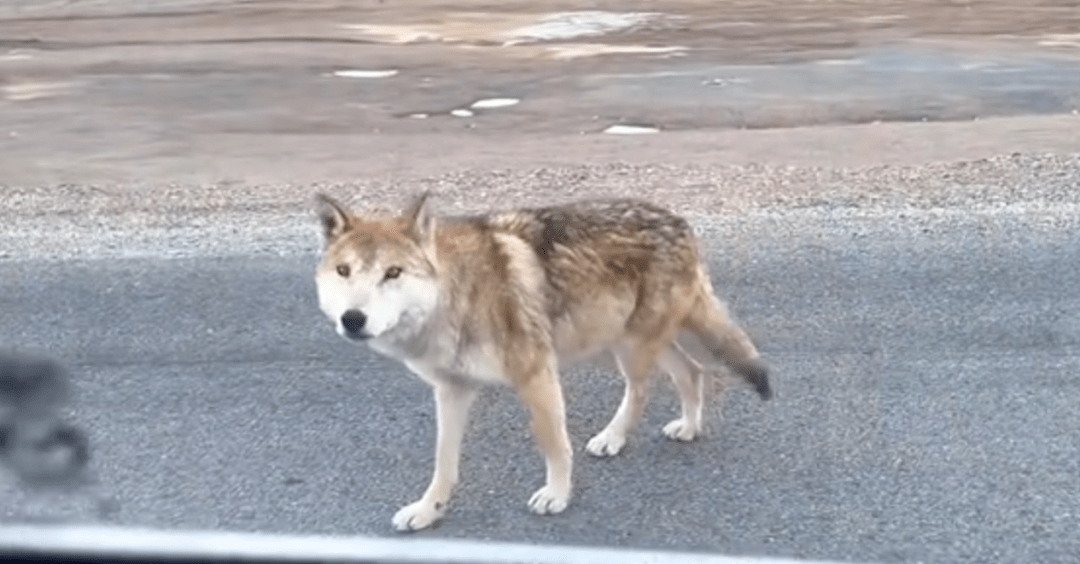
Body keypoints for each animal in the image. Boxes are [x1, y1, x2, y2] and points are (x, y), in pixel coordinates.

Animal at [313, 191, 768, 529]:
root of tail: (680, 222)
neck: (458, 293)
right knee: (691, 370)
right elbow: (444, 462)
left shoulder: (536, 374)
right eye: (344, 271)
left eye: (392, 273)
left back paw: (614, 438)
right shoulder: (452, 390)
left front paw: (557, 496)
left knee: (645, 388)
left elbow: (554, 444)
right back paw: (688, 428)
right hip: (619, 342)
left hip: (629, 348)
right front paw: (429, 510)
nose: (353, 319)